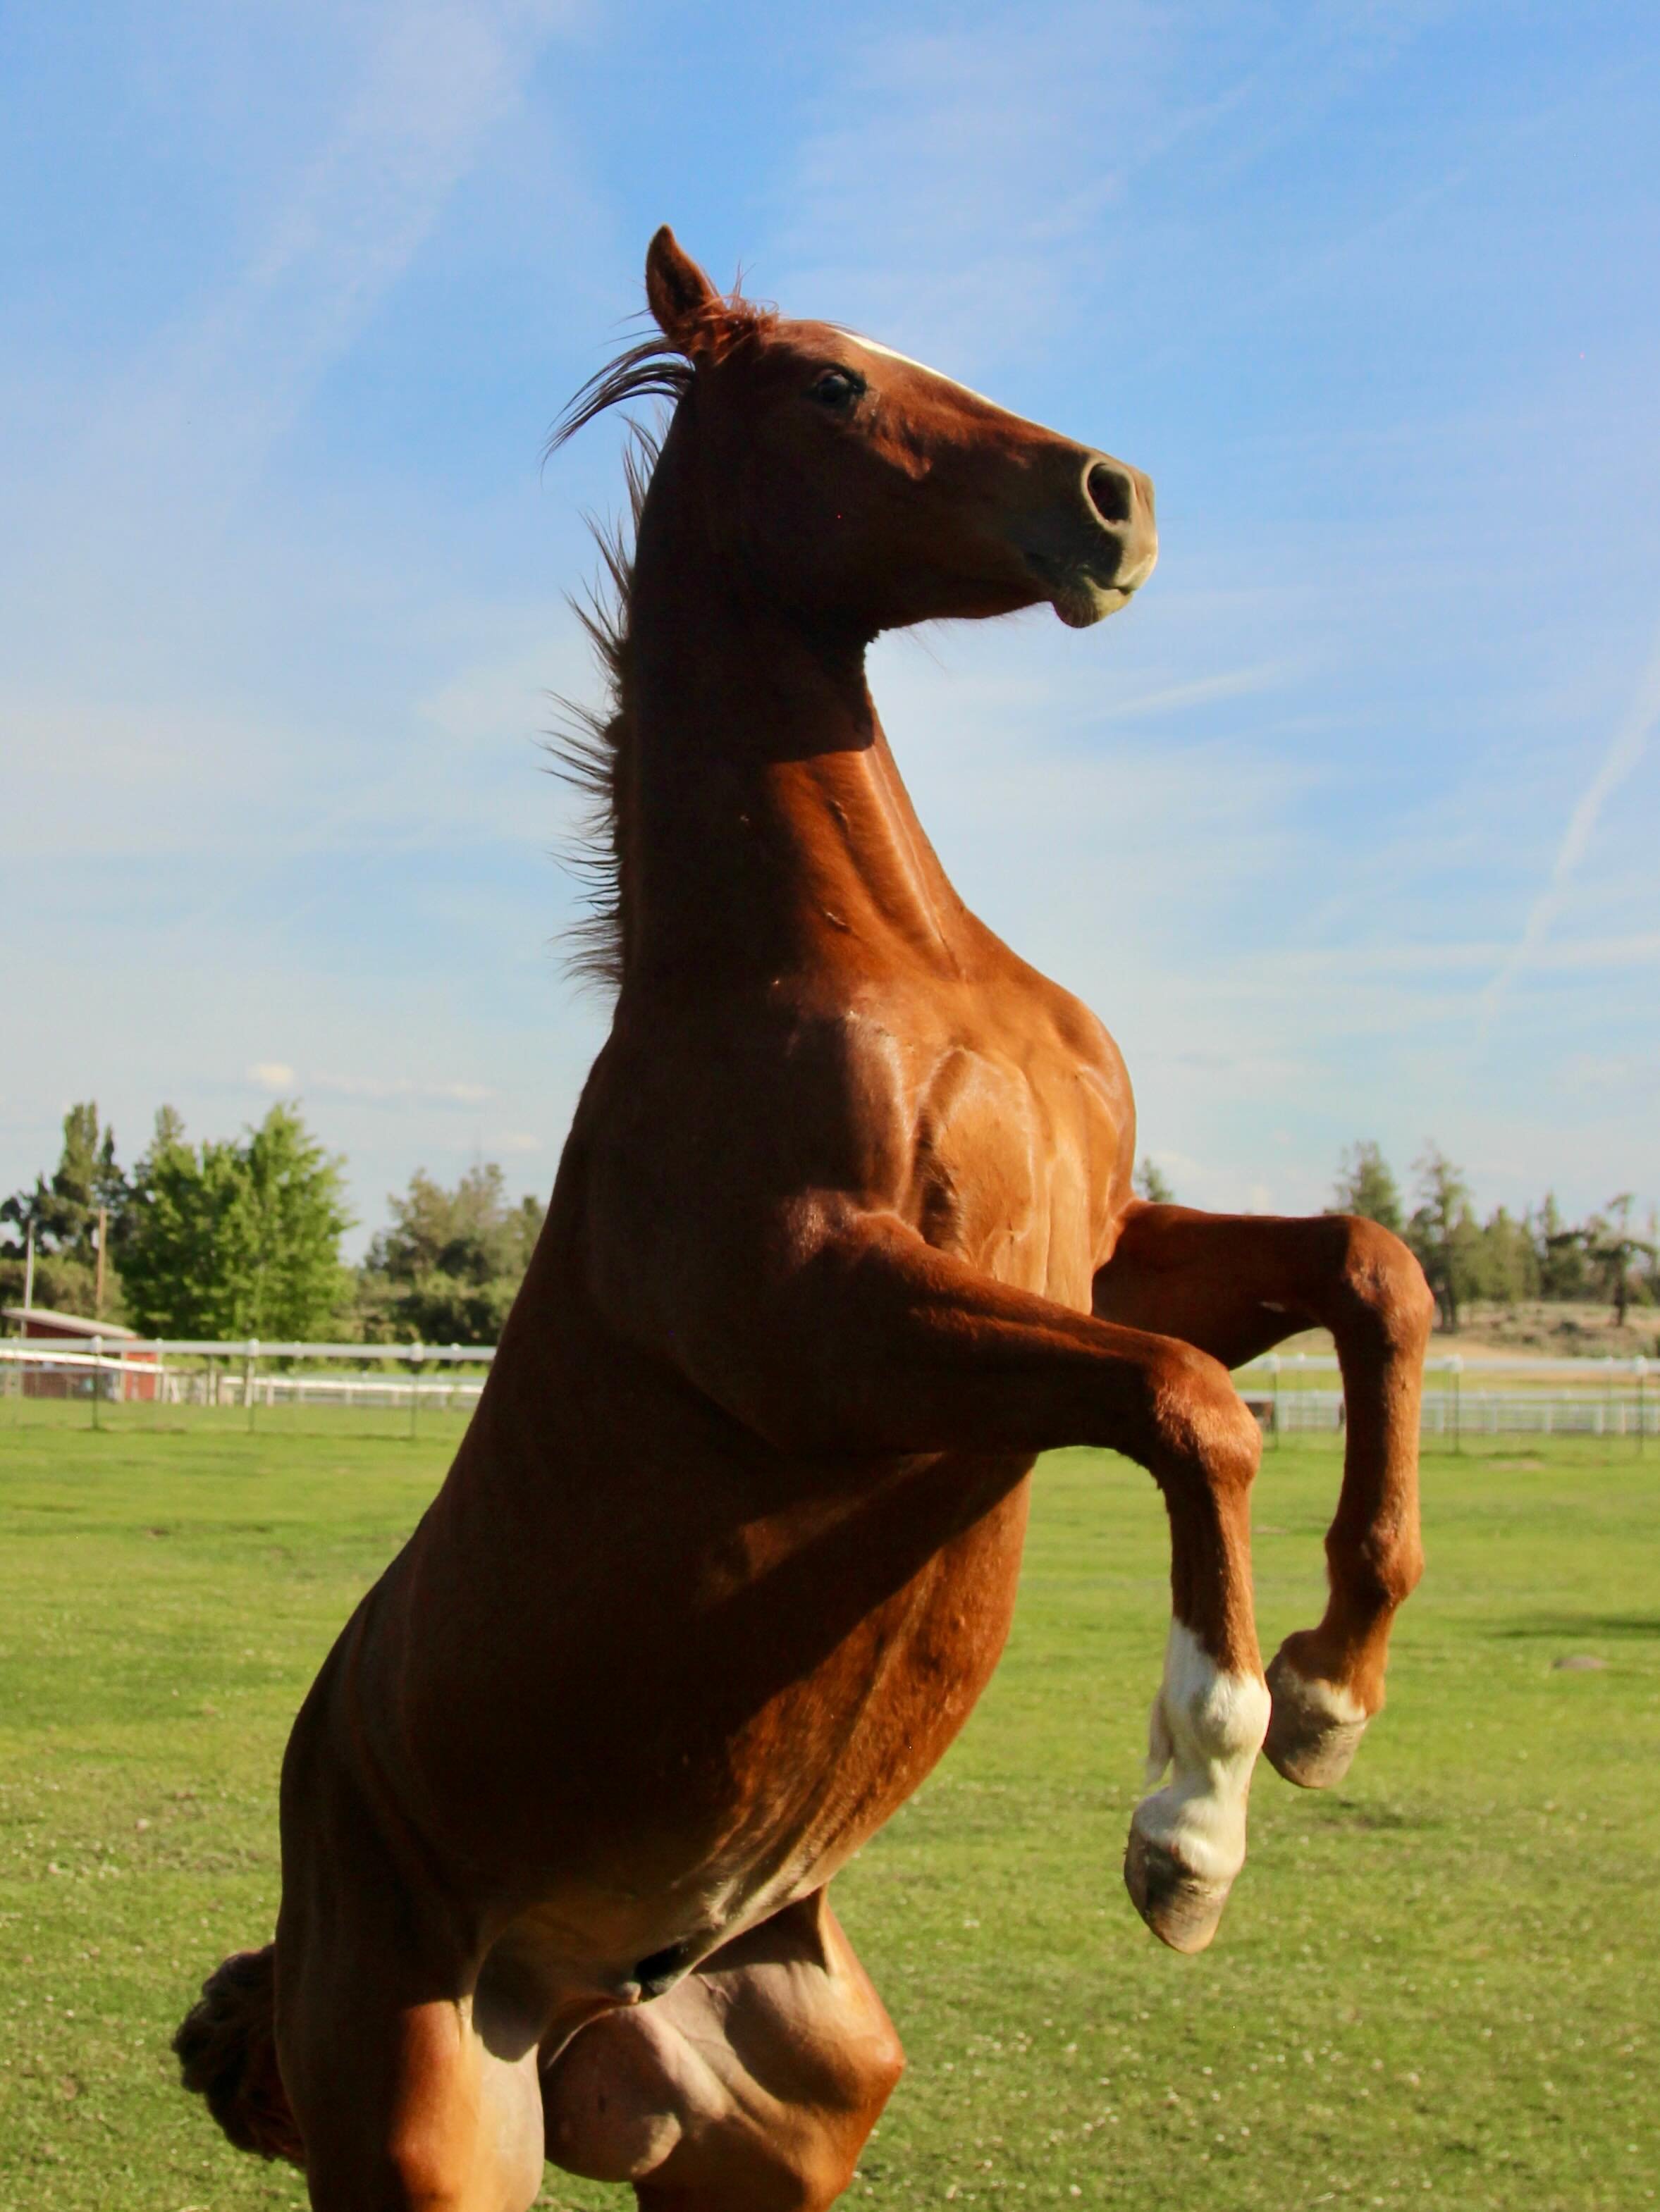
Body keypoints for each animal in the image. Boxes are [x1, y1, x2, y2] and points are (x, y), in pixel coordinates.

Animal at [175, 227, 1432, 2212]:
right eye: (838, 385)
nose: (1117, 500)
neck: (860, 965)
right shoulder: (830, 1326)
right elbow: (1190, 1406)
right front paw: (1194, 1816)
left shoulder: (1089, 1251)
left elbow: (1365, 1274)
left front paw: (1330, 1691)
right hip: (432, 2143)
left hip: (781, 2124)